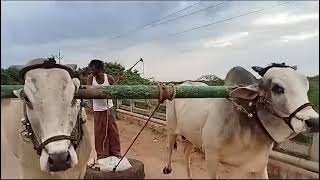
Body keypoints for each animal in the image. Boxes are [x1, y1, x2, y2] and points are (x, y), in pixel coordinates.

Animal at [164, 66, 318, 179]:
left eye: (306, 87)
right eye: (277, 88)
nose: (314, 122)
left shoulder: (259, 164)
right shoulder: (211, 157)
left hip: (191, 137)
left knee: (186, 154)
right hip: (171, 129)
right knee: (170, 146)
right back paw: (167, 168)